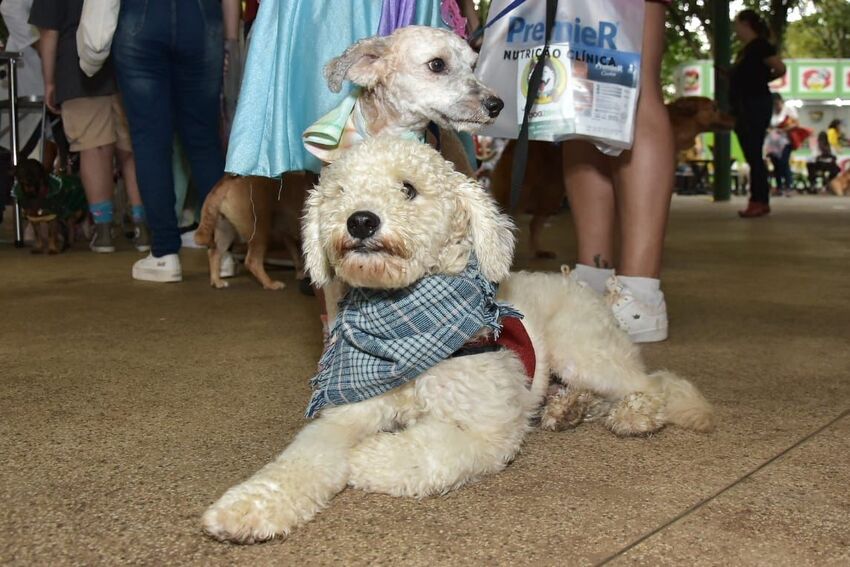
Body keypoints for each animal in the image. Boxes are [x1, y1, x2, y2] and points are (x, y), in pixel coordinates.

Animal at [202, 138, 712, 544]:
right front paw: (249, 506)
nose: (360, 221)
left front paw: (365, 458)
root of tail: (580, 285)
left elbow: (424, 450)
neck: (404, 332)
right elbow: (299, 461)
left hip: (583, 350)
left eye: (408, 188)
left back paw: (634, 415)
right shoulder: (343, 415)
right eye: (339, 192)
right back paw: (567, 408)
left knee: (648, 385)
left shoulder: (487, 430)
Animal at [486, 96, 732, 260]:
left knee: (535, 223)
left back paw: (538, 251)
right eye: (715, 107)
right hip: (529, 189)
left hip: (550, 193)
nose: (735, 118)